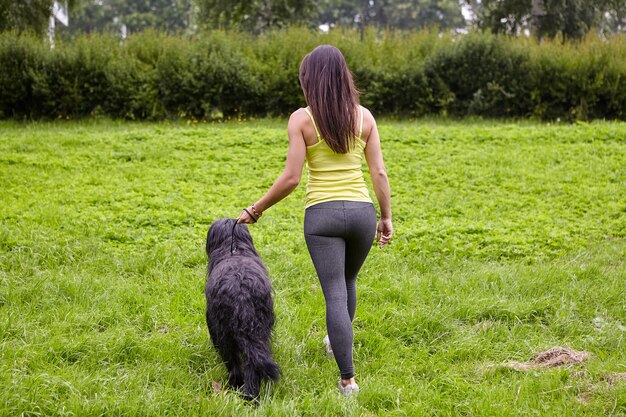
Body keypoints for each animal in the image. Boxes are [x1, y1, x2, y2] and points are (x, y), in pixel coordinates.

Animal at [204, 218, 280, 400]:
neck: (234, 248)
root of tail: (241, 292)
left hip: (223, 334)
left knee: (234, 365)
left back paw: (239, 389)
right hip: (259, 332)